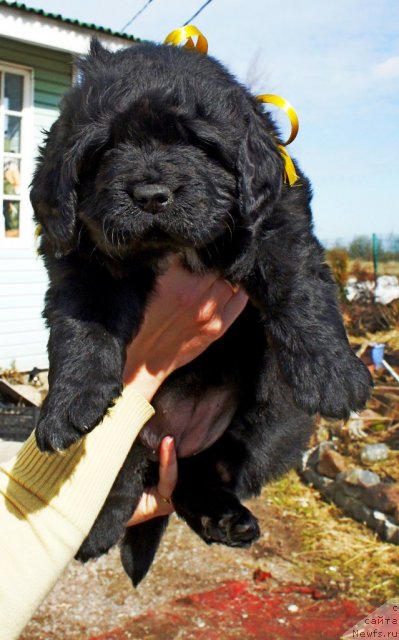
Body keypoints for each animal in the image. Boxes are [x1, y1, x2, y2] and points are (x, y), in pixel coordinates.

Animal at [30, 38, 372, 584]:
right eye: (106, 149)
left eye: (199, 145)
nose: (150, 195)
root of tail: (177, 438)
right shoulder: (77, 251)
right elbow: (83, 323)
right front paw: (67, 404)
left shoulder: (275, 215)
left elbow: (297, 281)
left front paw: (333, 374)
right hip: (143, 434)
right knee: (127, 471)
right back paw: (98, 529)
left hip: (278, 422)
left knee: (202, 473)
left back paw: (225, 518)